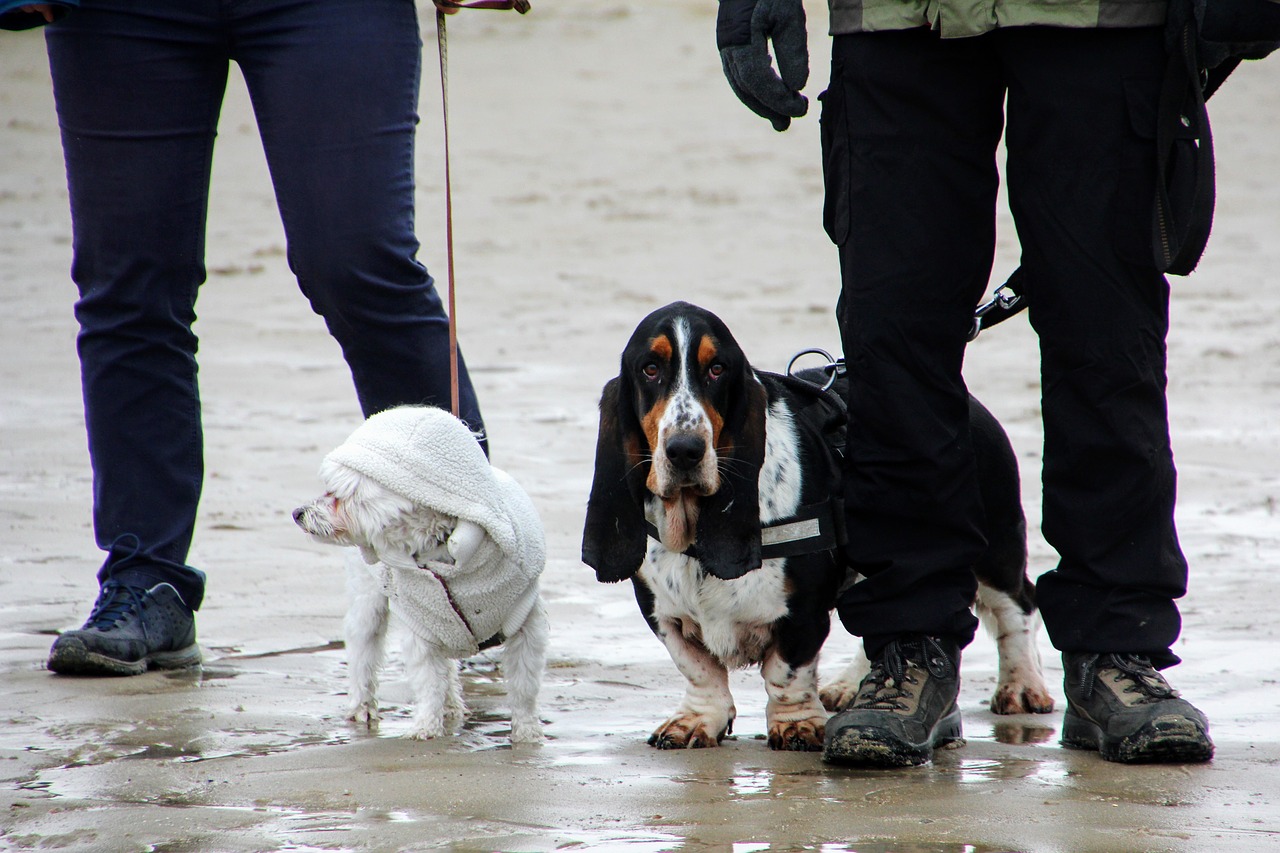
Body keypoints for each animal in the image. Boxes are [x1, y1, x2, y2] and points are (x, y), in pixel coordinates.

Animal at [294, 402, 550, 742]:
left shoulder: (525, 623)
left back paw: (452, 707)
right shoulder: (423, 627)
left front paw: (527, 734)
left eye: (337, 494)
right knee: (363, 649)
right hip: (368, 601)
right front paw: (426, 728)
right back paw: (362, 707)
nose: (298, 513)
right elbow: (428, 681)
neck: (441, 546)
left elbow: (524, 686)